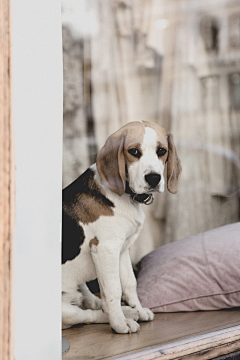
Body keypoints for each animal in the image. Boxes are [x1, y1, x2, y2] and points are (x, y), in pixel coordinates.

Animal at [61, 121, 181, 334]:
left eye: (161, 151)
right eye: (133, 151)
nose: (153, 178)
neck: (126, 196)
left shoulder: (123, 249)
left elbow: (130, 284)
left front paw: (137, 309)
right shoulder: (106, 250)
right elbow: (114, 289)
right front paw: (119, 323)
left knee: (93, 303)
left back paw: (129, 312)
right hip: (65, 312)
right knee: (87, 315)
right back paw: (121, 317)